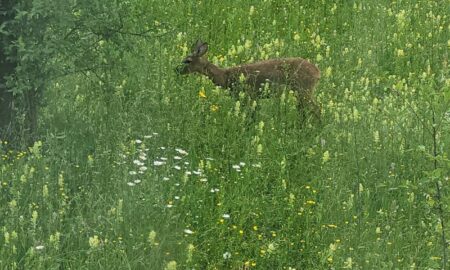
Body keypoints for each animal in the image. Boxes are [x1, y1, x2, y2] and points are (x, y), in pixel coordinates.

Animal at [175, 39, 320, 121]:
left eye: (188, 60)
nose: (176, 69)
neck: (225, 77)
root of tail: (317, 72)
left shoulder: (248, 94)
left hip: (304, 88)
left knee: (316, 108)